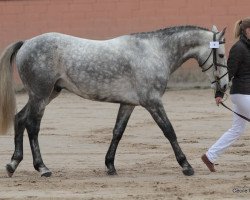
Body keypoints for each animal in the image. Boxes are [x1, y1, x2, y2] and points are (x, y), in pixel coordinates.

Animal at [0, 25, 229, 177]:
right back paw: (42, 168)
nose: (225, 87)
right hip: (40, 95)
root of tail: (26, 43)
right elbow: (169, 131)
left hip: (47, 94)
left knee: (20, 119)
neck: (154, 51)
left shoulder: (129, 104)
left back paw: (13, 163)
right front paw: (186, 165)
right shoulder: (153, 102)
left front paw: (110, 165)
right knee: (32, 126)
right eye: (221, 55)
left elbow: (118, 132)